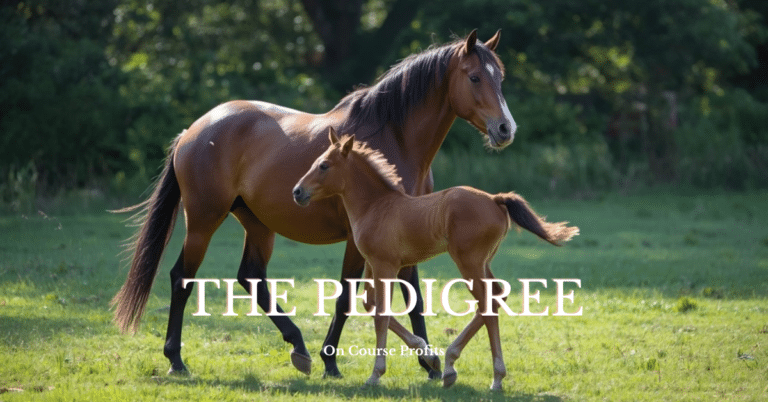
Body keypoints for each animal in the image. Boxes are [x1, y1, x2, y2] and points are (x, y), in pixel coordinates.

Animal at [111, 29, 516, 379]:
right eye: (475, 77)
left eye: (501, 78)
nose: (505, 129)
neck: (392, 137)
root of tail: (192, 131)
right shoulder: (359, 240)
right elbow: (346, 297)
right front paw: (332, 362)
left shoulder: (406, 233)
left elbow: (412, 298)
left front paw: (429, 362)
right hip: (203, 221)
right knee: (182, 278)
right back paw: (176, 360)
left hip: (258, 224)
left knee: (251, 277)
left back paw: (298, 347)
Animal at [292, 129, 578, 389]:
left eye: (324, 165)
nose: (297, 192)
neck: (376, 206)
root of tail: (495, 199)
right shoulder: (374, 265)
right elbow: (371, 305)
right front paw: (429, 356)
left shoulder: (386, 265)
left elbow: (382, 314)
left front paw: (375, 375)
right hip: (483, 263)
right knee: (498, 295)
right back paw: (452, 364)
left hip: (468, 262)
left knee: (487, 303)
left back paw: (493, 376)